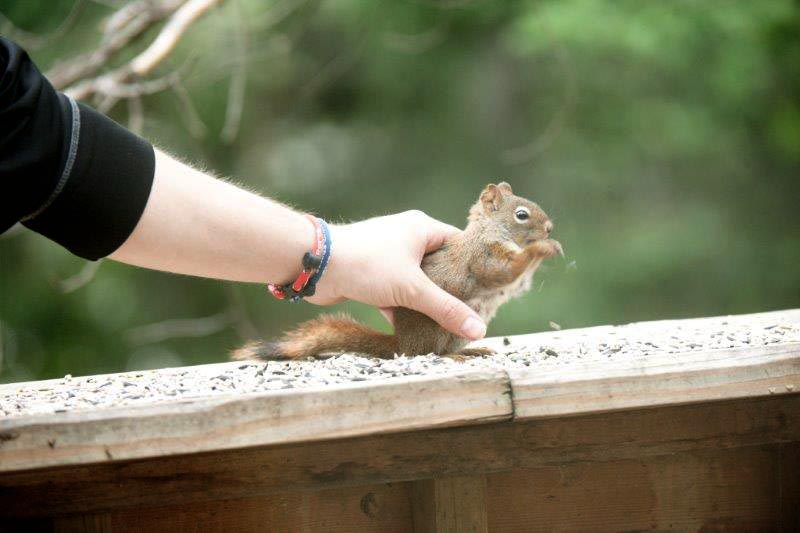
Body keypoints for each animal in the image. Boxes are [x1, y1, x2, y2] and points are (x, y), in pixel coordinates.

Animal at [232, 182, 563, 361]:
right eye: (521, 215)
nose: (549, 228)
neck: (488, 231)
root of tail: (401, 343)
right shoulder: (483, 257)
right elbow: (503, 273)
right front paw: (542, 248)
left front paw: (551, 246)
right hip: (435, 328)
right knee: (429, 354)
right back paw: (454, 356)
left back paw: (472, 352)